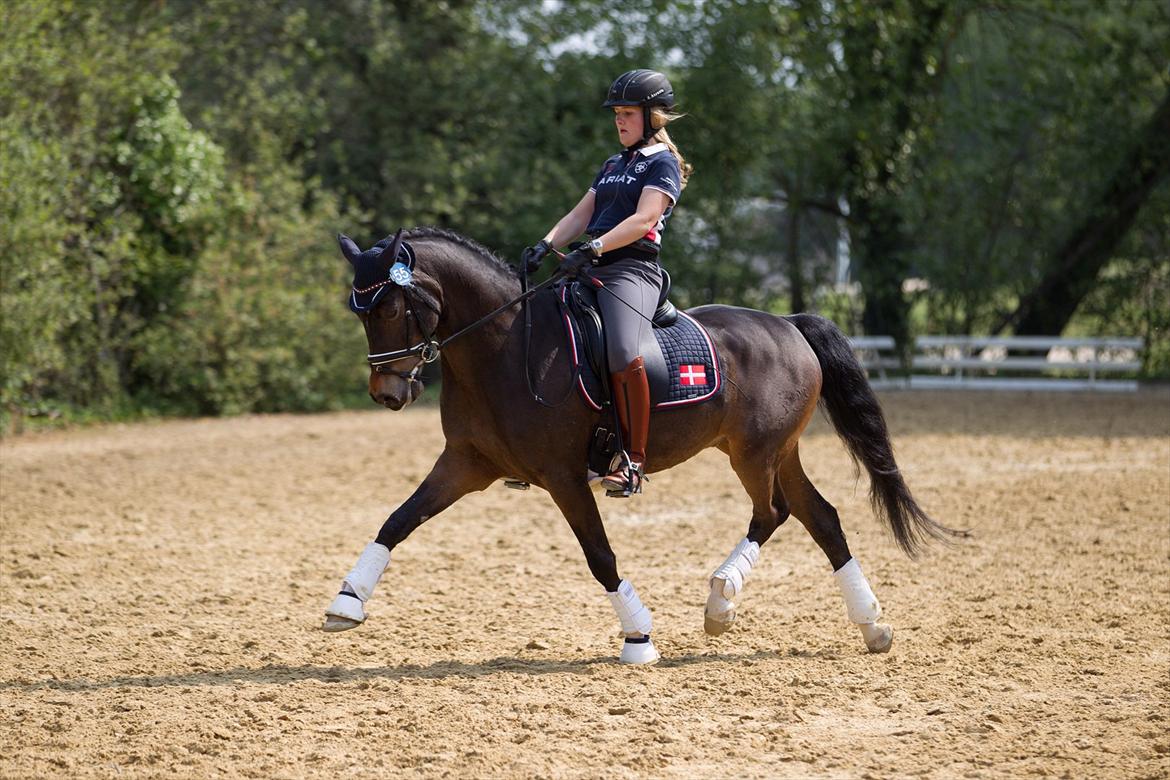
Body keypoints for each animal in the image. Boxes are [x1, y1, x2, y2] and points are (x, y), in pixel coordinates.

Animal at [322, 225, 959, 664]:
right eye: (358, 310)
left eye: (390, 304)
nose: (387, 392)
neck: (504, 345)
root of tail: (788, 323)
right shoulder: (464, 464)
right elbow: (398, 520)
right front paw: (347, 601)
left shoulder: (563, 476)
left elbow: (599, 555)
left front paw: (638, 636)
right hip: (779, 452)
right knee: (821, 518)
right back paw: (871, 624)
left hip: (755, 454)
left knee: (772, 512)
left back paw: (720, 600)